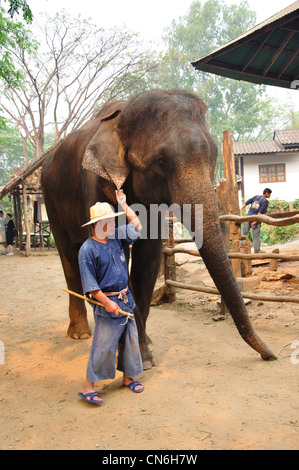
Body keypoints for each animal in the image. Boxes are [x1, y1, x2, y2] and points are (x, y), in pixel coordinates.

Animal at [41, 88, 276, 368]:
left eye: (213, 155)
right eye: (161, 161)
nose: (271, 355)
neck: (122, 116)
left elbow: (148, 260)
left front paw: (143, 354)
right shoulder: (94, 183)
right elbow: (119, 258)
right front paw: (134, 359)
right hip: (50, 199)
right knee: (69, 257)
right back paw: (80, 334)